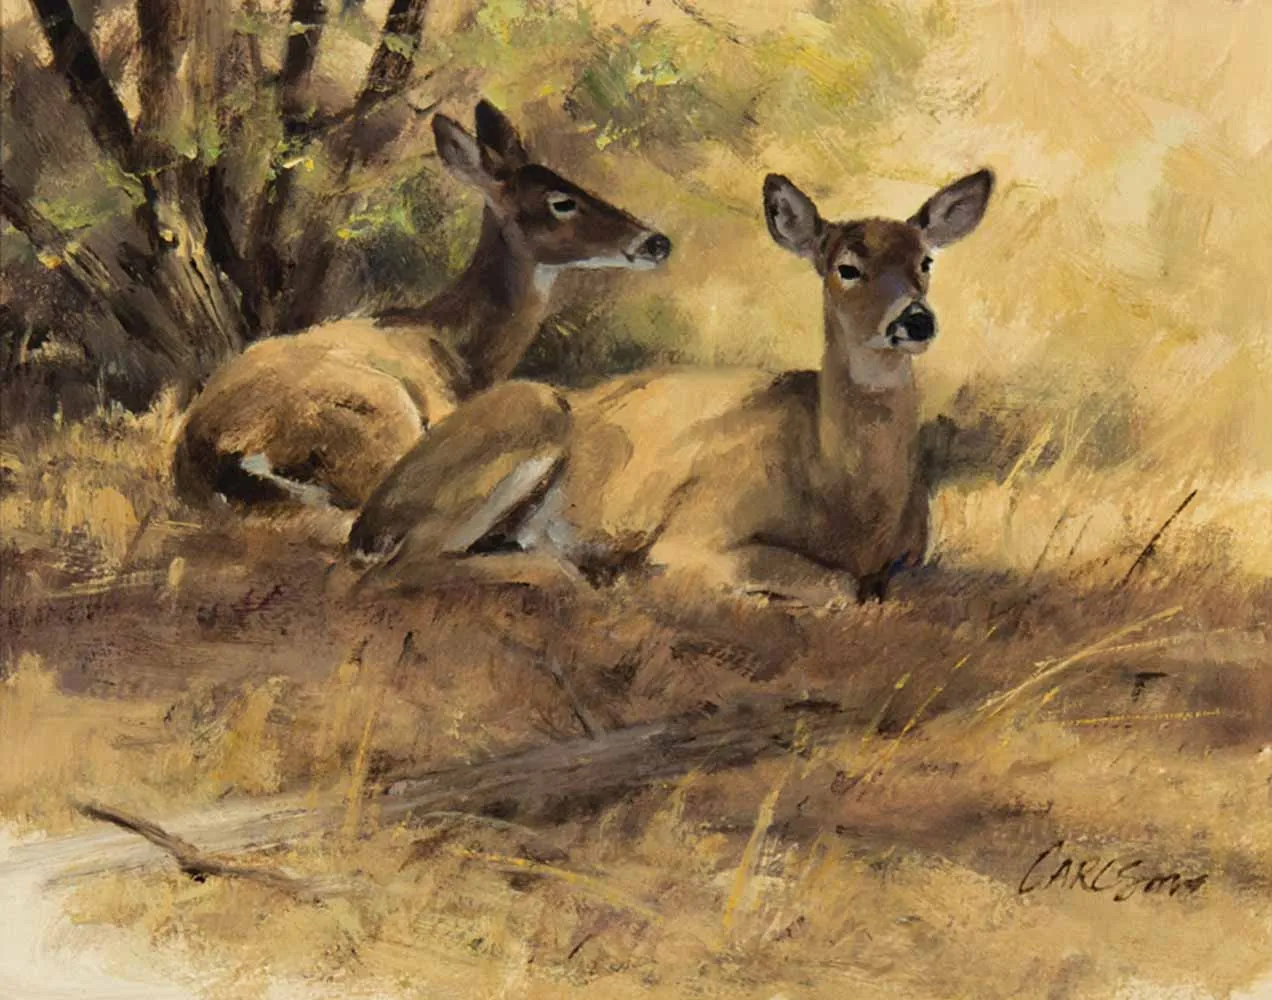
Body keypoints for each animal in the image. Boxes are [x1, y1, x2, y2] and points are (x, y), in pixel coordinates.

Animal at [345, 167, 994, 606]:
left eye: (926, 261)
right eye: (847, 267)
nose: (915, 320)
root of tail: (370, 515)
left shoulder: (909, 553)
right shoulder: (697, 531)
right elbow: (837, 587)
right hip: (530, 413)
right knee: (401, 566)